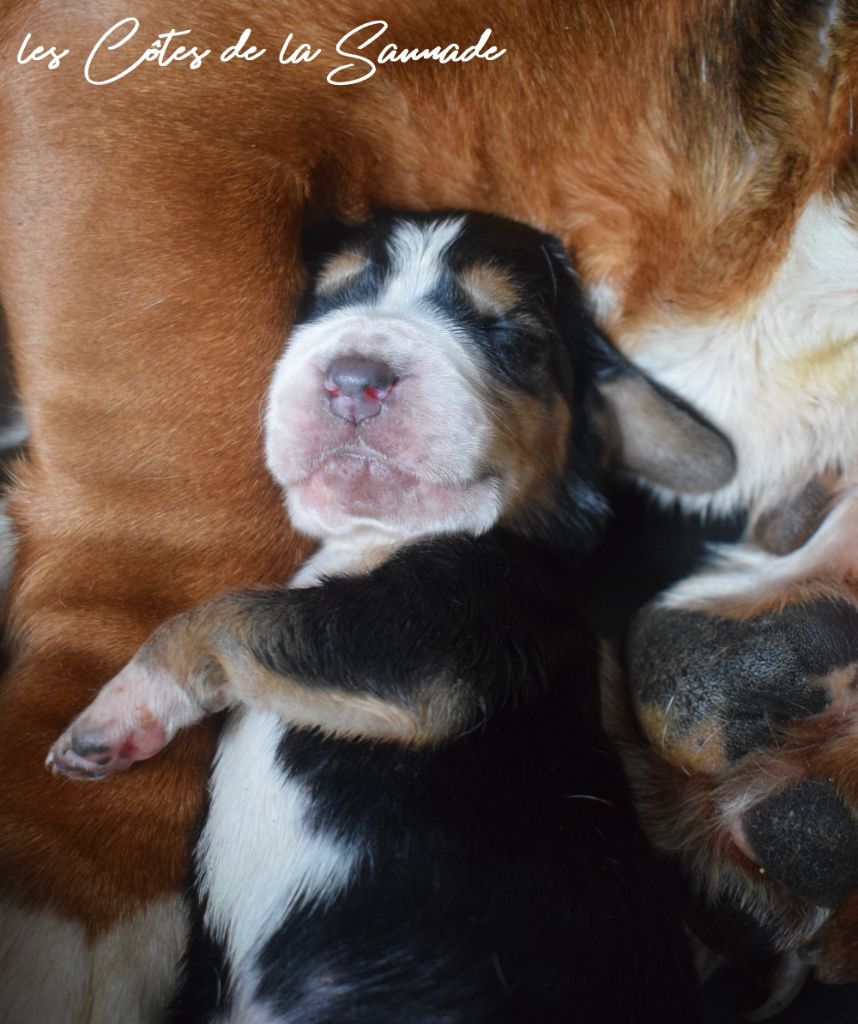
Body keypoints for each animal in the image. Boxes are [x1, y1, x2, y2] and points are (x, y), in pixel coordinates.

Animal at [47, 209, 737, 1024]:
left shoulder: (441, 629)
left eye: (512, 336)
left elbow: (223, 616)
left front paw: (112, 717)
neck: (377, 538)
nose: (355, 379)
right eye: (326, 299)